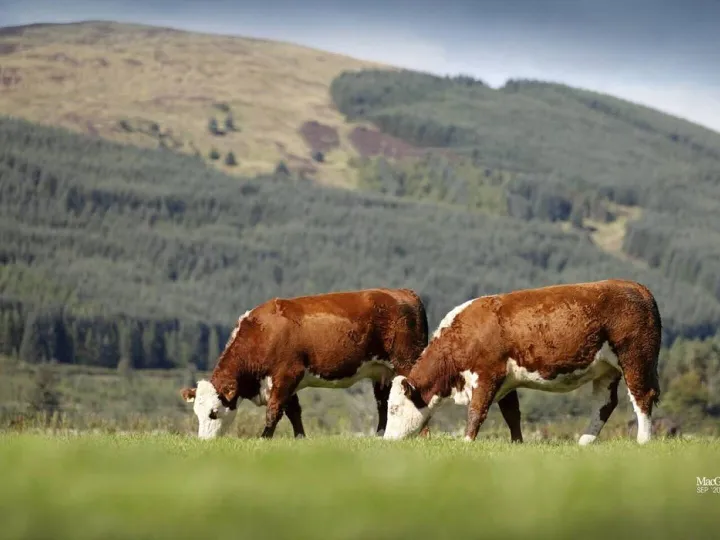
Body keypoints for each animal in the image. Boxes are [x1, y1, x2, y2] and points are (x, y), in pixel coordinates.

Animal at [181, 288, 429, 439]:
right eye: (196, 413)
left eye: (213, 412)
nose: (204, 441)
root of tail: (403, 292)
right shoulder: (286, 382)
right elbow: (294, 412)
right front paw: (300, 438)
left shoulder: (287, 374)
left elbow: (274, 411)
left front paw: (263, 439)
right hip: (381, 371)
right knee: (382, 403)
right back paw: (380, 435)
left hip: (407, 361)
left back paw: (422, 435)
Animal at [383, 279, 662, 445]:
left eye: (394, 409)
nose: (386, 439)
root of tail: (636, 287)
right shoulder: (507, 380)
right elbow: (512, 414)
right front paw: (517, 443)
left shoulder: (488, 374)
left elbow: (476, 411)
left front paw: (466, 442)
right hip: (607, 369)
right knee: (605, 404)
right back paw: (584, 441)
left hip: (635, 358)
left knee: (642, 396)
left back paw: (643, 440)